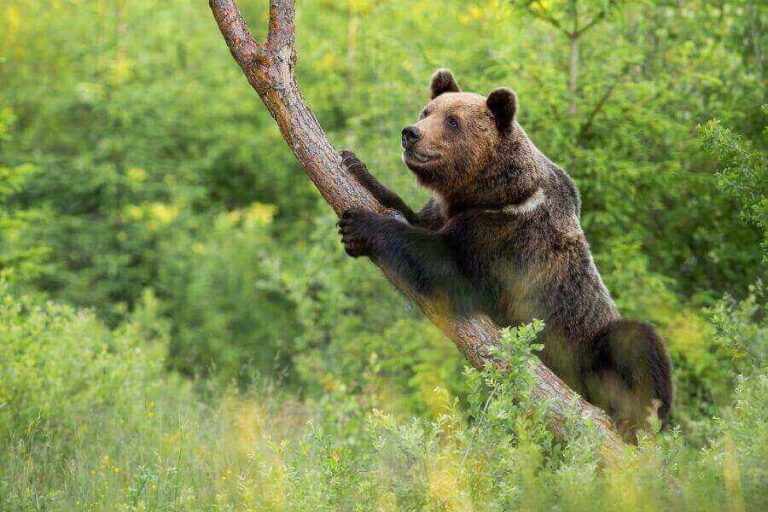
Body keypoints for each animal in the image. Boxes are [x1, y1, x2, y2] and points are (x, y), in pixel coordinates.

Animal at [337, 69, 673, 438]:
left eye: (452, 121)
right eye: (427, 111)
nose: (410, 134)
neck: (491, 193)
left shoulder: (509, 240)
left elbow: (450, 272)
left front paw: (361, 224)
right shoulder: (448, 212)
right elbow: (414, 219)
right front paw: (356, 167)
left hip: (586, 345)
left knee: (636, 342)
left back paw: (636, 420)